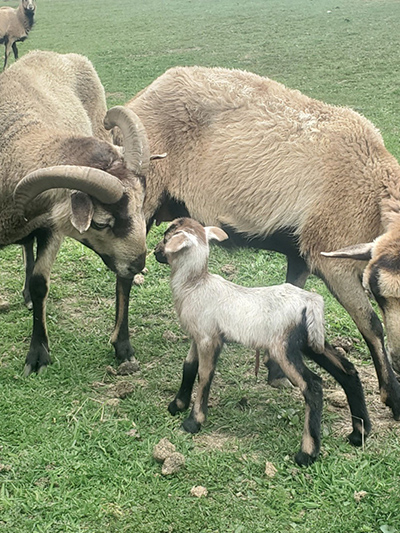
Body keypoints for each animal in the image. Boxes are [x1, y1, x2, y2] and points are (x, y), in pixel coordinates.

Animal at [0, 50, 150, 374]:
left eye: (142, 208)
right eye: (101, 223)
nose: (139, 265)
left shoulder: (51, 225)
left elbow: (40, 283)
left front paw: (38, 354)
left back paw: (123, 346)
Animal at [113, 63, 400, 420]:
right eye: (379, 292)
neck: (373, 185)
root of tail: (147, 92)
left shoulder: (301, 253)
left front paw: (277, 373)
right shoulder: (332, 256)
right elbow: (371, 325)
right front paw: (393, 398)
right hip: (147, 190)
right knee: (125, 271)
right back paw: (122, 348)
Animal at [154, 218, 372, 464]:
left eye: (166, 238)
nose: (155, 252)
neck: (194, 285)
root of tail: (311, 302)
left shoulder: (209, 339)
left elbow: (204, 375)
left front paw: (193, 422)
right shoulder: (197, 335)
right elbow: (189, 367)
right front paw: (177, 405)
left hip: (282, 347)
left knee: (313, 386)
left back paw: (307, 454)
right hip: (309, 341)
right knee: (347, 372)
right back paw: (358, 434)